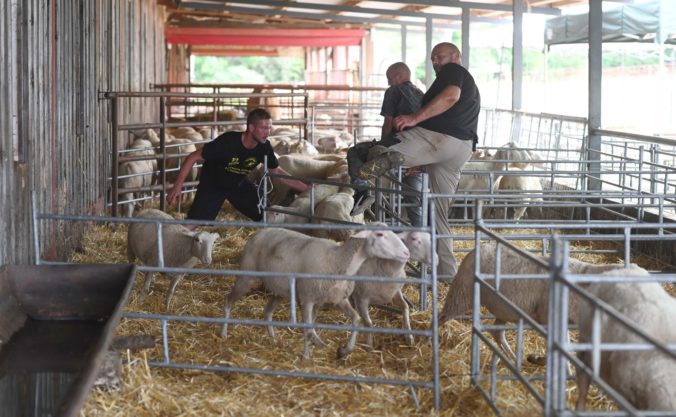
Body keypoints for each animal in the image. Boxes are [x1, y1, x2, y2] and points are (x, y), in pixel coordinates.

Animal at [224, 226, 410, 360]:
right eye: (380, 234)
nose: (406, 253)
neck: (337, 260)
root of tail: (260, 232)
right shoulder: (307, 298)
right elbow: (309, 328)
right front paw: (310, 353)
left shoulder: (338, 299)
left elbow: (356, 319)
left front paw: (343, 350)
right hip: (247, 276)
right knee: (228, 300)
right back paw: (224, 333)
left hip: (279, 290)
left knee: (267, 312)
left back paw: (274, 340)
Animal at [438, 242, 632, 362]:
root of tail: (480, 247)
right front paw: (539, 360)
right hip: (462, 292)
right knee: (442, 316)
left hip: (504, 308)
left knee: (497, 332)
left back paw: (513, 359)